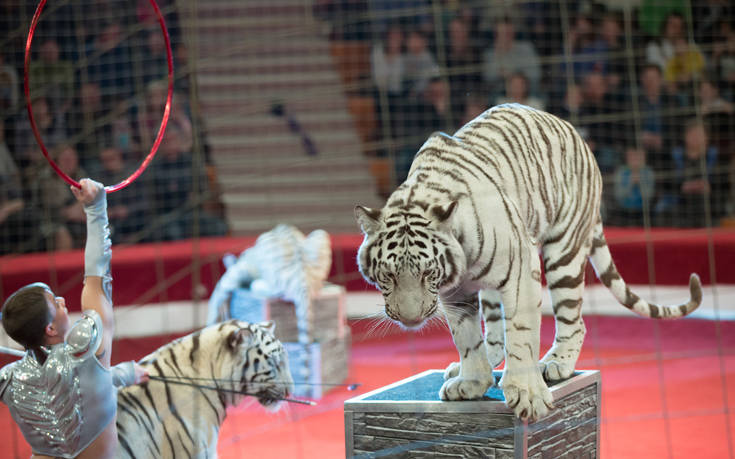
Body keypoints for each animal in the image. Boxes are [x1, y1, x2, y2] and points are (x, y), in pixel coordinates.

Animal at [356, 105, 700, 424]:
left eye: (427, 273)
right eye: (388, 275)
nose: (410, 319)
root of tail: (571, 129)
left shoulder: (520, 268)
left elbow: (521, 334)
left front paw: (527, 394)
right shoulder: (454, 292)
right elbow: (466, 337)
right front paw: (472, 381)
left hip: (564, 252)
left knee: (574, 319)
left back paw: (557, 362)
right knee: (494, 328)